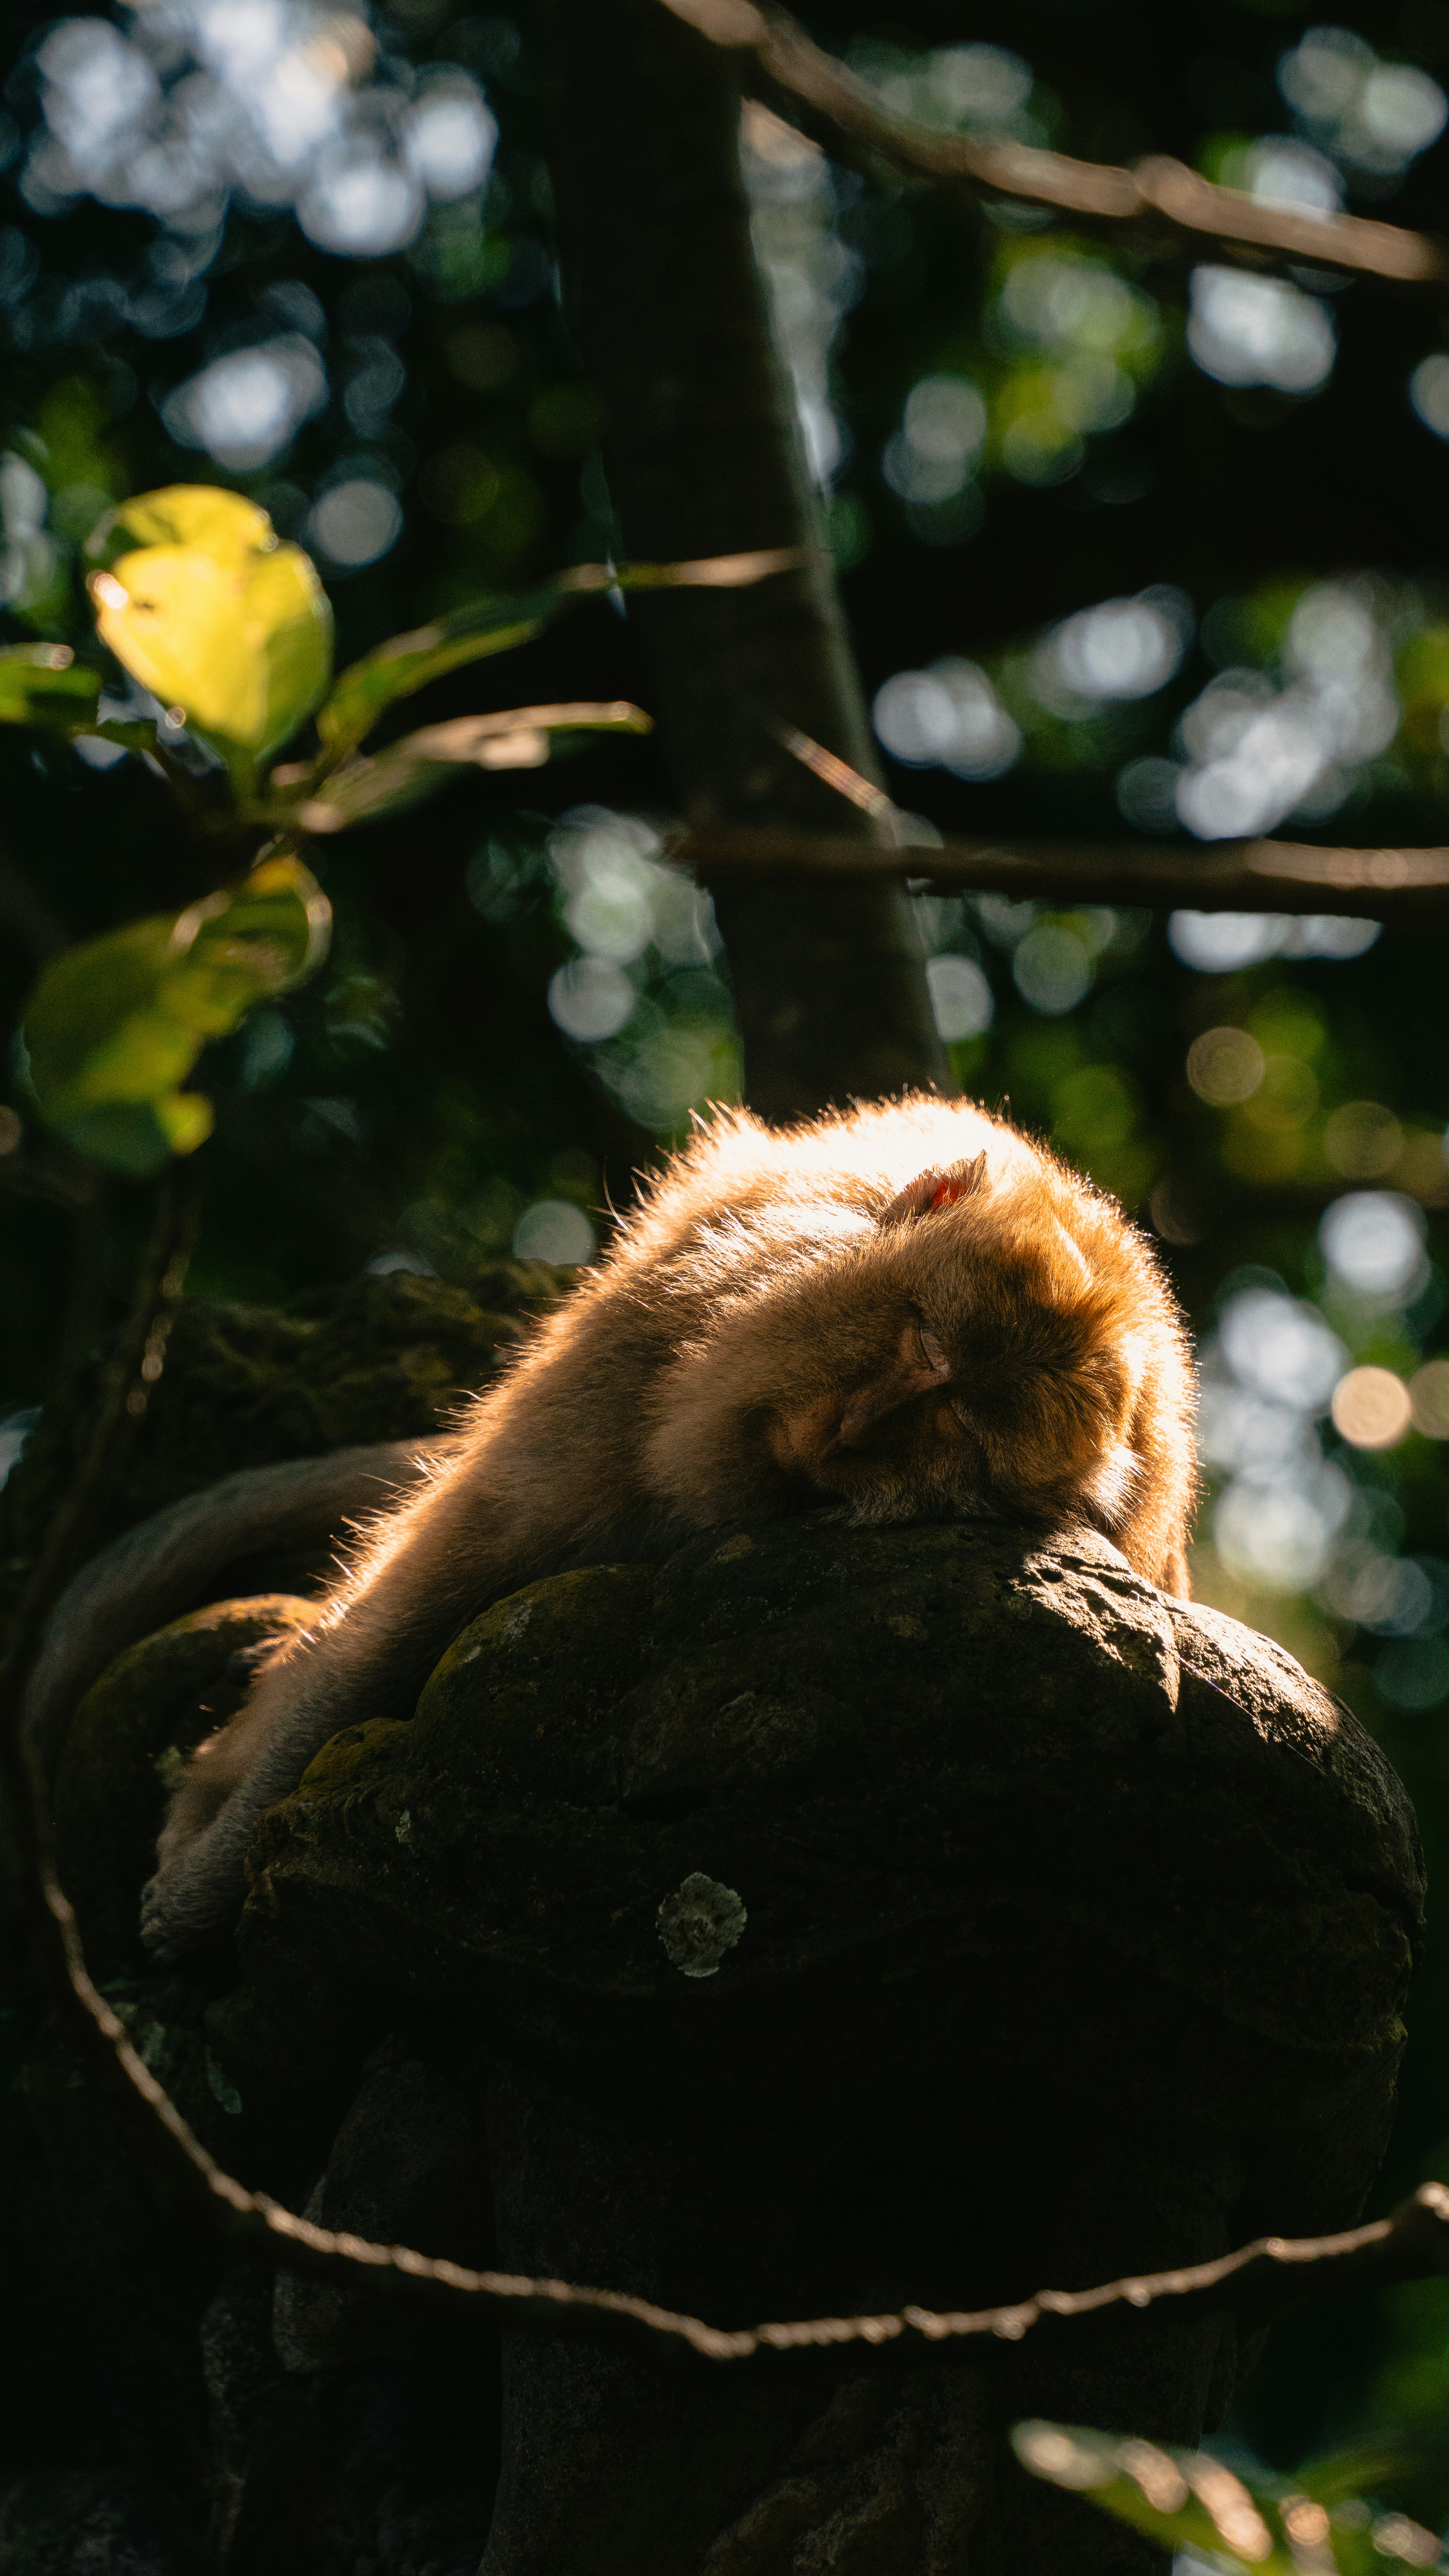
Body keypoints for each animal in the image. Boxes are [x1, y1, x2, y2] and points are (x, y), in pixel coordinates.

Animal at [139, 1093, 1198, 1960]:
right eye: (924, 1342)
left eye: (959, 1434)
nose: (854, 1428)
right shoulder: (655, 1333)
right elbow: (441, 1586)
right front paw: (201, 1876)